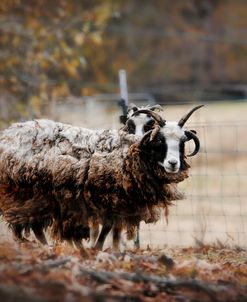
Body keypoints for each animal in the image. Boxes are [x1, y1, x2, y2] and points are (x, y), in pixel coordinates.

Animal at [0, 105, 204, 249]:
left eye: (182, 142)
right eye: (160, 140)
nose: (173, 163)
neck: (131, 151)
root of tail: (8, 134)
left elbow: (109, 231)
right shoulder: (108, 201)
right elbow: (105, 232)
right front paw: (94, 250)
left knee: (34, 225)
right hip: (27, 194)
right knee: (30, 226)